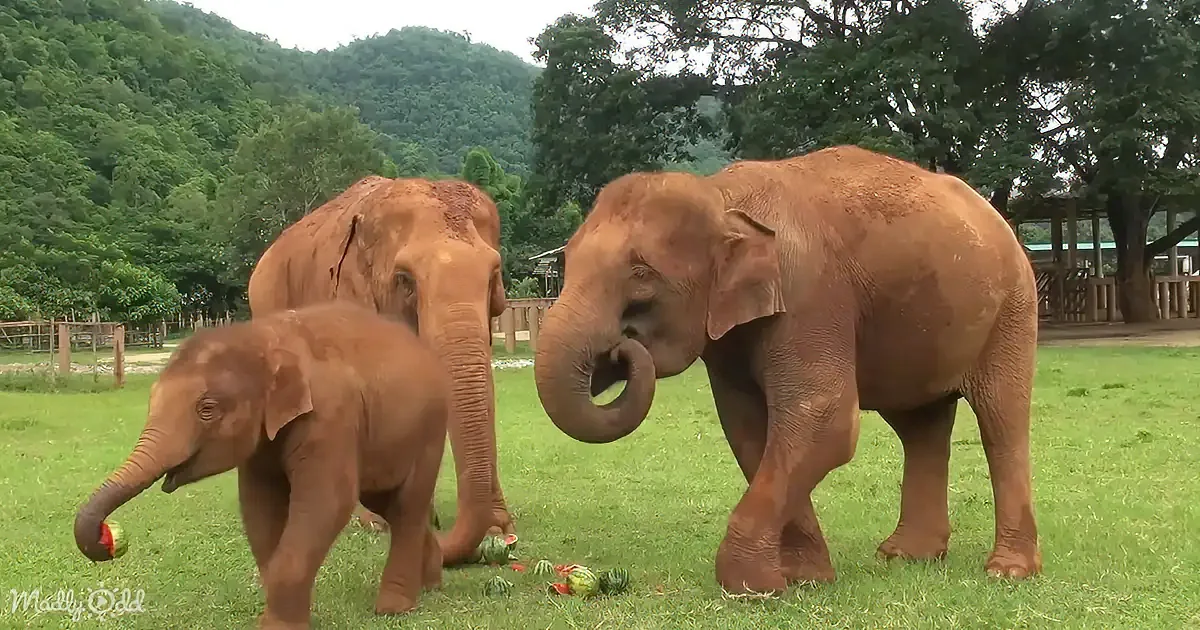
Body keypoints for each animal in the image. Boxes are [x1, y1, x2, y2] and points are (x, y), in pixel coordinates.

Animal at [73, 302, 450, 629]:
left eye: (207, 409)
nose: (107, 541)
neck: (264, 339)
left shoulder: (331, 415)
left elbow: (327, 503)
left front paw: (278, 625)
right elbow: (259, 504)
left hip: (431, 428)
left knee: (408, 504)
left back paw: (394, 608)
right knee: (386, 501)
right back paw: (431, 582)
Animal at [532, 145, 1041, 595]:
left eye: (641, 275)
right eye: (565, 262)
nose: (621, 349)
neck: (720, 196)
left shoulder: (808, 292)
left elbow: (825, 420)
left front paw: (754, 588)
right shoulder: (731, 335)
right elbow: (750, 429)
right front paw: (804, 580)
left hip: (1014, 307)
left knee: (1000, 420)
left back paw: (1008, 572)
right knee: (921, 428)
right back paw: (905, 557)